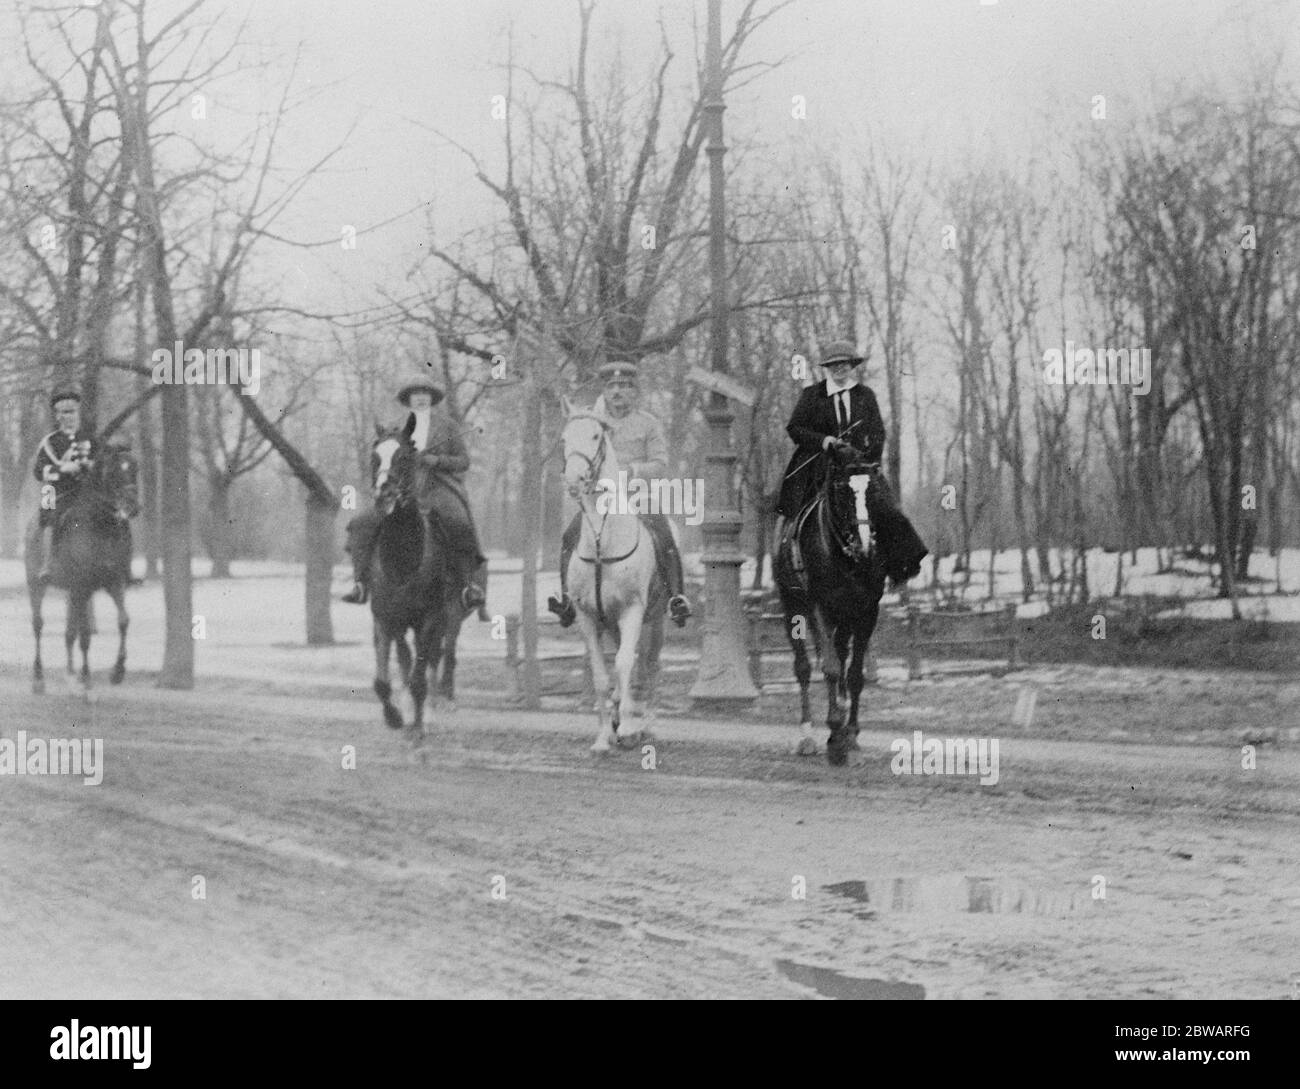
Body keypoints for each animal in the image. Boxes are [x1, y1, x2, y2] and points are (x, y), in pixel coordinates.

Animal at [26, 444, 138, 696]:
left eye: (135, 469)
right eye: (114, 472)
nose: (133, 507)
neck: (102, 526)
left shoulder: (113, 581)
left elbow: (124, 620)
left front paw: (117, 672)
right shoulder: (83, 585)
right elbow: (85, 634)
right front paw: (87, 680)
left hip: (72, 591)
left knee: (69, 632)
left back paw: (70, 675)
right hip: (36, 585)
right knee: (38, 625)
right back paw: (38, 679)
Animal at [559, 400, 665, 758]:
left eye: (595, 435)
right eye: (564, 438)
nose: (573, 478)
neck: (602, 541)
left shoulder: (632, 610)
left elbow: (624, 665)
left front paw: (630, 727)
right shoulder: (588, 616)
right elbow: (602, 676)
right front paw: (604, 737)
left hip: (655, 619)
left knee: (647, 666)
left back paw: (643, 724)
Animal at [774, 444, 889, 769]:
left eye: (874, 491)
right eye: (842, 491)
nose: (864, 545)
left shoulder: (867, 612)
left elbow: (855, 675)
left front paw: (850, 734)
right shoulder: (819, 608)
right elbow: (831, 669)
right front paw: (836, 736)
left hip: (844, 617)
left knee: (840, 653)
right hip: (793, 607)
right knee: (803, 668)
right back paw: (808, 737)